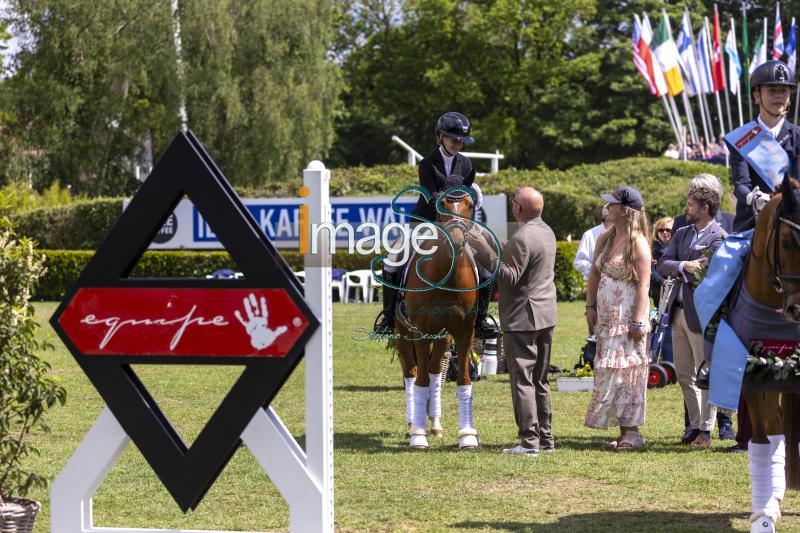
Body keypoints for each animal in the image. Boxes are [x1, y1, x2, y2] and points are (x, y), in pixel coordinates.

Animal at [392, 187, 490, 448]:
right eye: (442, 204)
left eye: (469, 205)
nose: (456, 240)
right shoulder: (420, 331)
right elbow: (420, 382)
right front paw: (418, 435)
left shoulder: (464, 331)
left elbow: (463, 381)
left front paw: (467, 436)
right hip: (404, 333)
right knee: (411, 373)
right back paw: (412, 426)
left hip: (443, 337)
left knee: (436, 372)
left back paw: (435, 425)